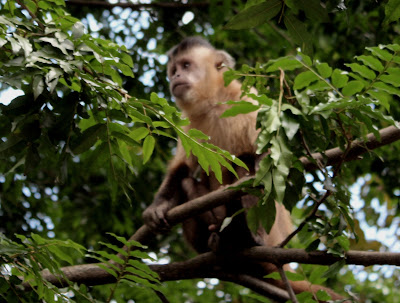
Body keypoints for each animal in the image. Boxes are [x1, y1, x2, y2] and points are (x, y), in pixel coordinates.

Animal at [142, 36, 346, 300]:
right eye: (174, 69)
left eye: (185, 66)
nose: (175, 76)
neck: (214, 103)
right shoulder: (186, 124)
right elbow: (182, 169)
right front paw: (157, 206)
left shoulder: (249, 100)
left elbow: (269, 156)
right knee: (188, 181)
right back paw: (216, 243)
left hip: (272, 235)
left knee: (246, 166)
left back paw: (246, 238)